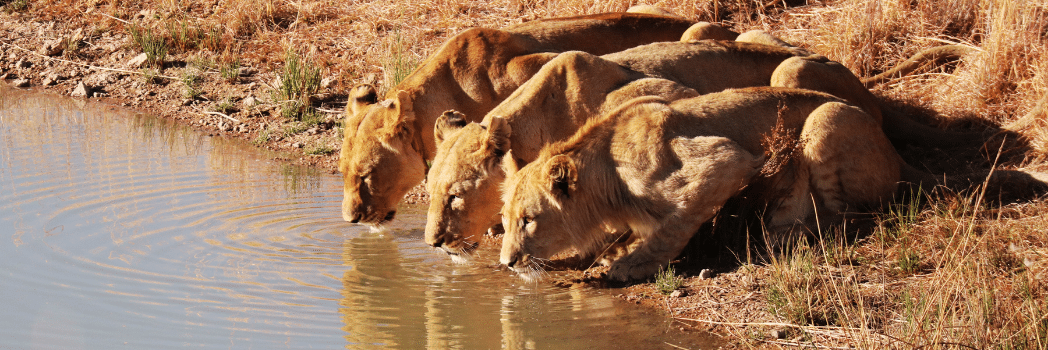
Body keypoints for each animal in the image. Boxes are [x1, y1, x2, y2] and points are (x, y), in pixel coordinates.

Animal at [496, 87, 901, 280]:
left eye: (528, 220)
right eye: (504, 220)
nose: (506, 262)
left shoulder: (725, 160)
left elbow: (670, 227)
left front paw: (630, 264)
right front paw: (611, 251)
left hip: (825, 119)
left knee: (847, 214)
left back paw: (786, 231)